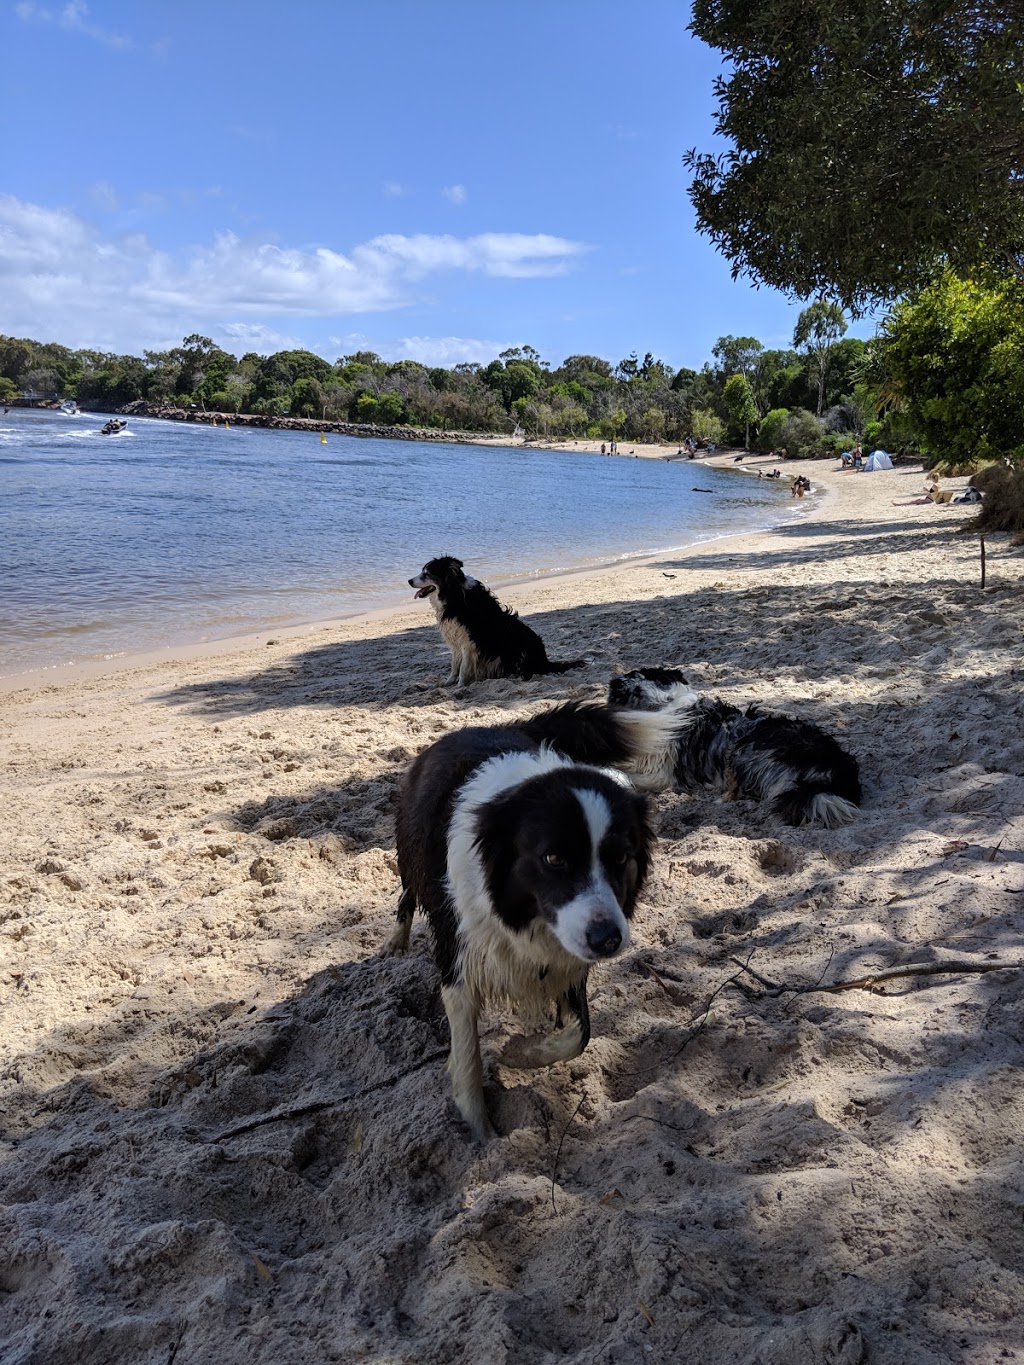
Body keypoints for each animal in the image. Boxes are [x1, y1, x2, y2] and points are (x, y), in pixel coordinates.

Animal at [387, 726, 652, 1141]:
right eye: (554, 858)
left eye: (621, 857)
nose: (608, 940)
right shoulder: (458, 960)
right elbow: (468, 1054)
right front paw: (479, 1133)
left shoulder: (567, 959)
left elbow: (579, 1036)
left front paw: (518, 1052)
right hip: (411, 855)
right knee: (407, 892)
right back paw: (396, 943)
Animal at [409, 551, 584, 682]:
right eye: (422, 572)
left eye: (427, 573)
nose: (409, 580)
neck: (453, 594)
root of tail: (545, 662)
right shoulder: (455, 639)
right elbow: (454, 666)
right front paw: (448, 683)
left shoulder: (469, 641)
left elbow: (463, 668)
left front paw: (460, 686)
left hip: (524, 646)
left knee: (527, 671)